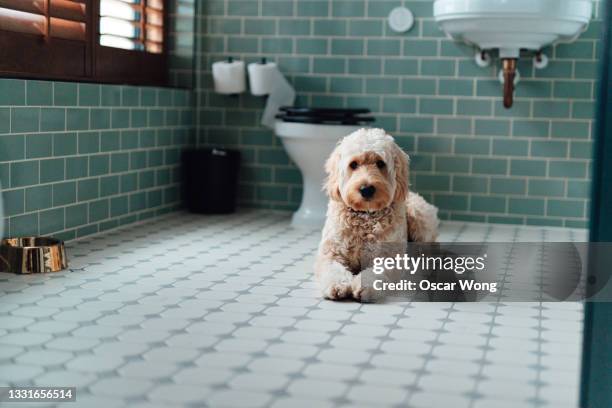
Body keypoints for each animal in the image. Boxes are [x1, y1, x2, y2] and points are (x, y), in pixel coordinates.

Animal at [314, 129, 438, 302]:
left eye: (380, 163)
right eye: (353, 164)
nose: (366, 189)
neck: (365, 216)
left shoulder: (387, 257)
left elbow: (375, 273)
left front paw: (364, 286)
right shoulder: (331, 253)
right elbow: (333, 270)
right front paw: (338, 285)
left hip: (418, 216)